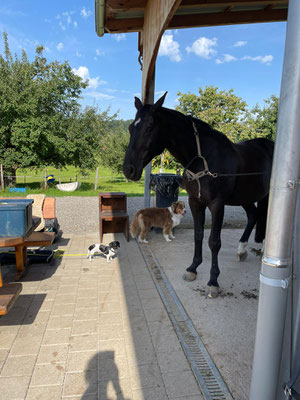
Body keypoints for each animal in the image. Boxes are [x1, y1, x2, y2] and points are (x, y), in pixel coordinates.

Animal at [122, 93, 274, 296]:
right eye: (131, 127)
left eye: (149, 127)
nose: (128, 169)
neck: (203, 159)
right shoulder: (195, 202)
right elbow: (198, 235)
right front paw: (192, 269)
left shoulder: (217, 204)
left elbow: (214, 242)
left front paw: (213, 281)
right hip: (245, 197)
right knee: (253, 215)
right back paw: (241, 250)